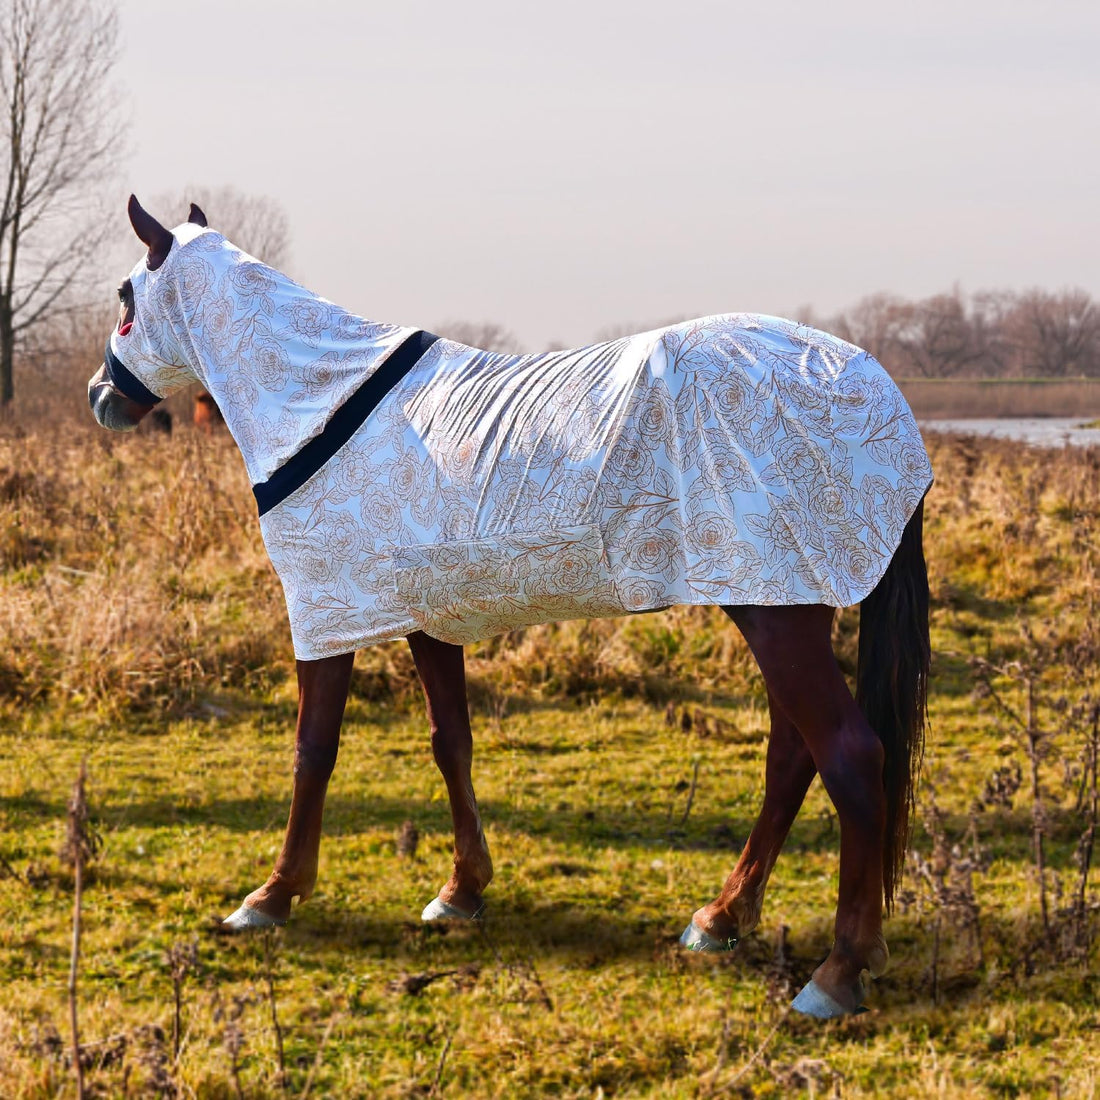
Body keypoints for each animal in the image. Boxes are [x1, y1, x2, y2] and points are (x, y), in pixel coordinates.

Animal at [89, 196, 932, 1019]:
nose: (101, 397)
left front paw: (272, 895)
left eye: (127, 298)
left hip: (778, 616)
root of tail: (874, 387)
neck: (323, 405)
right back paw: (722, 918)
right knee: (792, 758)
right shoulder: (430, 620)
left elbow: (313, 752)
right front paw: (462, 890)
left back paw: (837, 973)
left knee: (849, 757)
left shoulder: (326, 618)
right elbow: (450, 742)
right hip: (783, 600)